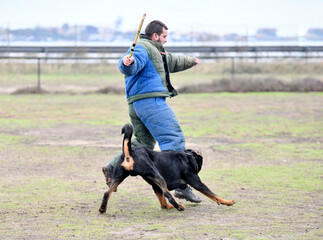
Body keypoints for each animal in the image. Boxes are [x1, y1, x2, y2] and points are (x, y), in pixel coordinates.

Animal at [98, 124, 235, 214]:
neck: (188, 156)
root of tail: (130, 151)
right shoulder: (197, 183)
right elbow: (214, 195)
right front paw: (227, 202)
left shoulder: (155, 186)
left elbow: (162, 201)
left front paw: (167, 206)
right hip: (158, 176)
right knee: (168, 193)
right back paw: (178, 207)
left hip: (119, 177)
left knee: (106, 193)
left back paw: (102, 208)